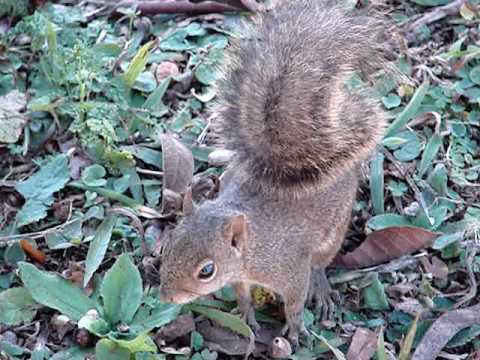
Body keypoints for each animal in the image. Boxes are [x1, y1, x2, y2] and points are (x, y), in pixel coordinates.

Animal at [159, 0, 388, 348]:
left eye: (207, 271)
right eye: (168, 245)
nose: (167, 297)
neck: (252, 249)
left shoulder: (290, 270)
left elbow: (294, 302)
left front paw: (295, 328)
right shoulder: (241, 277)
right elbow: (242, 294)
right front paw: (244, 314)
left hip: (334, 230)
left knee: (321, 263)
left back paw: (321, 287)